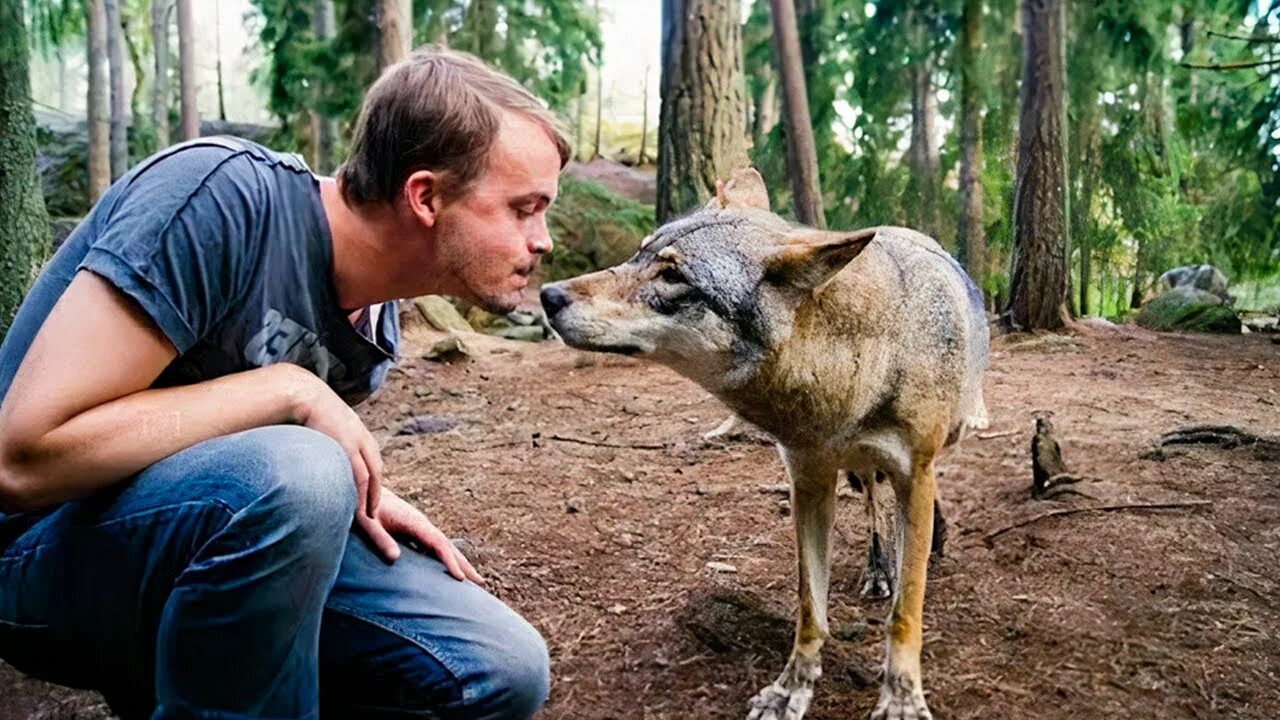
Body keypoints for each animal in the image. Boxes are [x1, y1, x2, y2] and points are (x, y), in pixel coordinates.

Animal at [540, 169, 988, 717]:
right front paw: (791, 689)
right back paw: (879, 568)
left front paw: (902, 697)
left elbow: (907, 608)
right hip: (858, 471)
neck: (851, 369)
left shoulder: (913, 471)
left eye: (673, 276)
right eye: (638, 254)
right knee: (873, 507)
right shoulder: (809, 481)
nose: (548, 295)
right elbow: (810, 608)